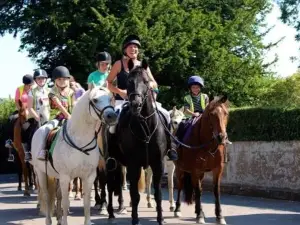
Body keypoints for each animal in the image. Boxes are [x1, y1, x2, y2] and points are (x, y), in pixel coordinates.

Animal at [30, 86, 117, 225]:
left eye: (110, 98)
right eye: (95, 100)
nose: (112, 116)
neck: (80, 140)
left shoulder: (89, 176)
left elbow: (86, 203)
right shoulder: (66, 177)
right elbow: (66, 203)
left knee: (58, 195)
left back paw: (59, 219)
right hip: (41, 173)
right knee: (47, 196)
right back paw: (49, 220)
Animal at [109, 59, 168, 224]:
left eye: (146, 81)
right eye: (129, 81)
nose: (135, 104)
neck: (145, 126)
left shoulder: (158, 164)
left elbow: (158, 194)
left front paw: (160, 218)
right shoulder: (133, 165)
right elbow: (135, 195)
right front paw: (135, 219)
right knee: (110, 186)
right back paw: (110, 212)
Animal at [175, 95, 229, 225]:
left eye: (226, 113)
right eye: (211, 114)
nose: (221, 137)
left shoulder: (218, 169)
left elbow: (216, 190)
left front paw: (219, 216)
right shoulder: (195, 170)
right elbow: (198, 191)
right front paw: (199, 216)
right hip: (180, 169)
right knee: (180, 185)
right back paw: (178, 209)